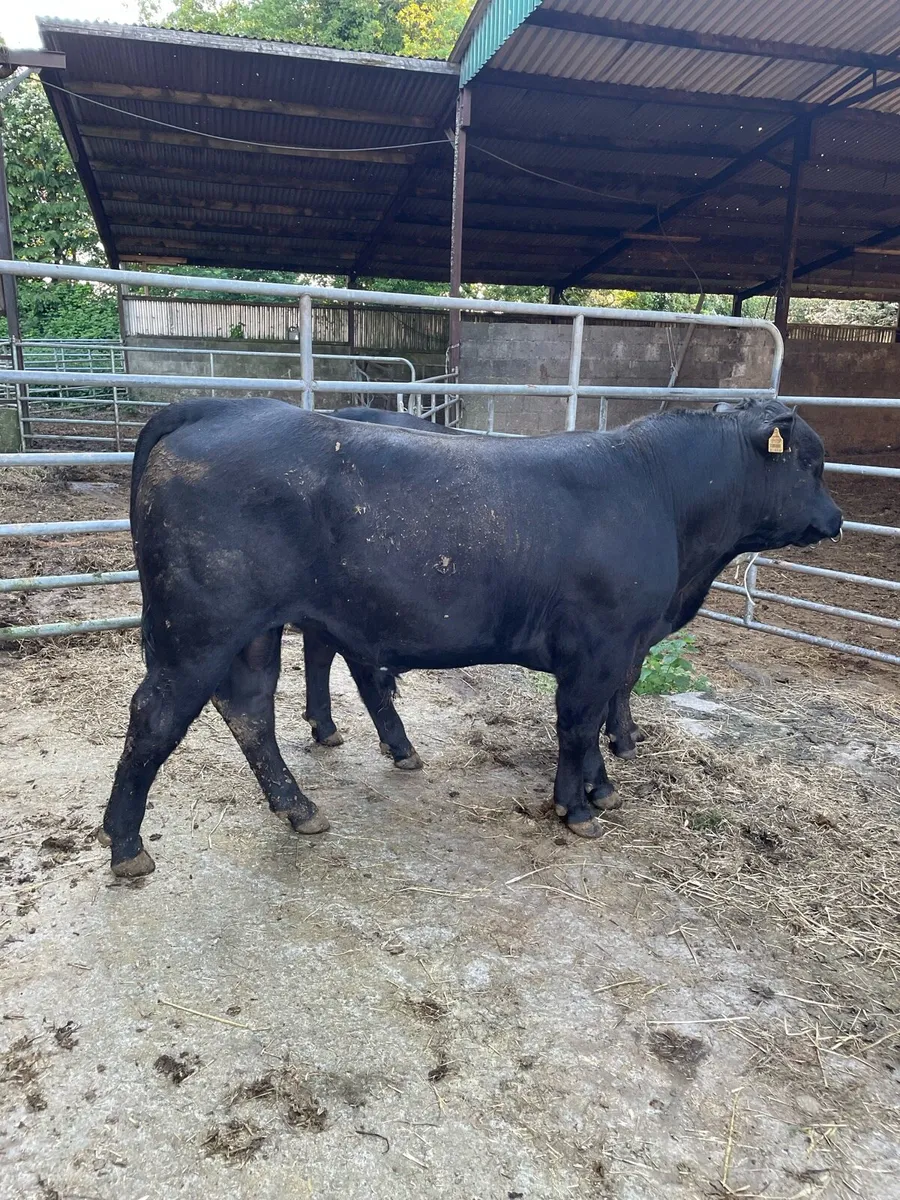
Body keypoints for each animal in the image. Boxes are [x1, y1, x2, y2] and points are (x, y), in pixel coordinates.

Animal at [101, 396, 840, 876]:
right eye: (809, 463)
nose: (835, 519)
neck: (657, 493)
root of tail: (218, 410)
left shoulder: (618, 649)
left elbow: (596, 720)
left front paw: (601, 787)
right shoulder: (600, 645)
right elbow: (577, 724)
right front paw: (577, 807)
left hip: (253, 630)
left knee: (250, 709)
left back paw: (298, 805)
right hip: (198, 630)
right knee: (155, 715)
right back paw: (126, 844)